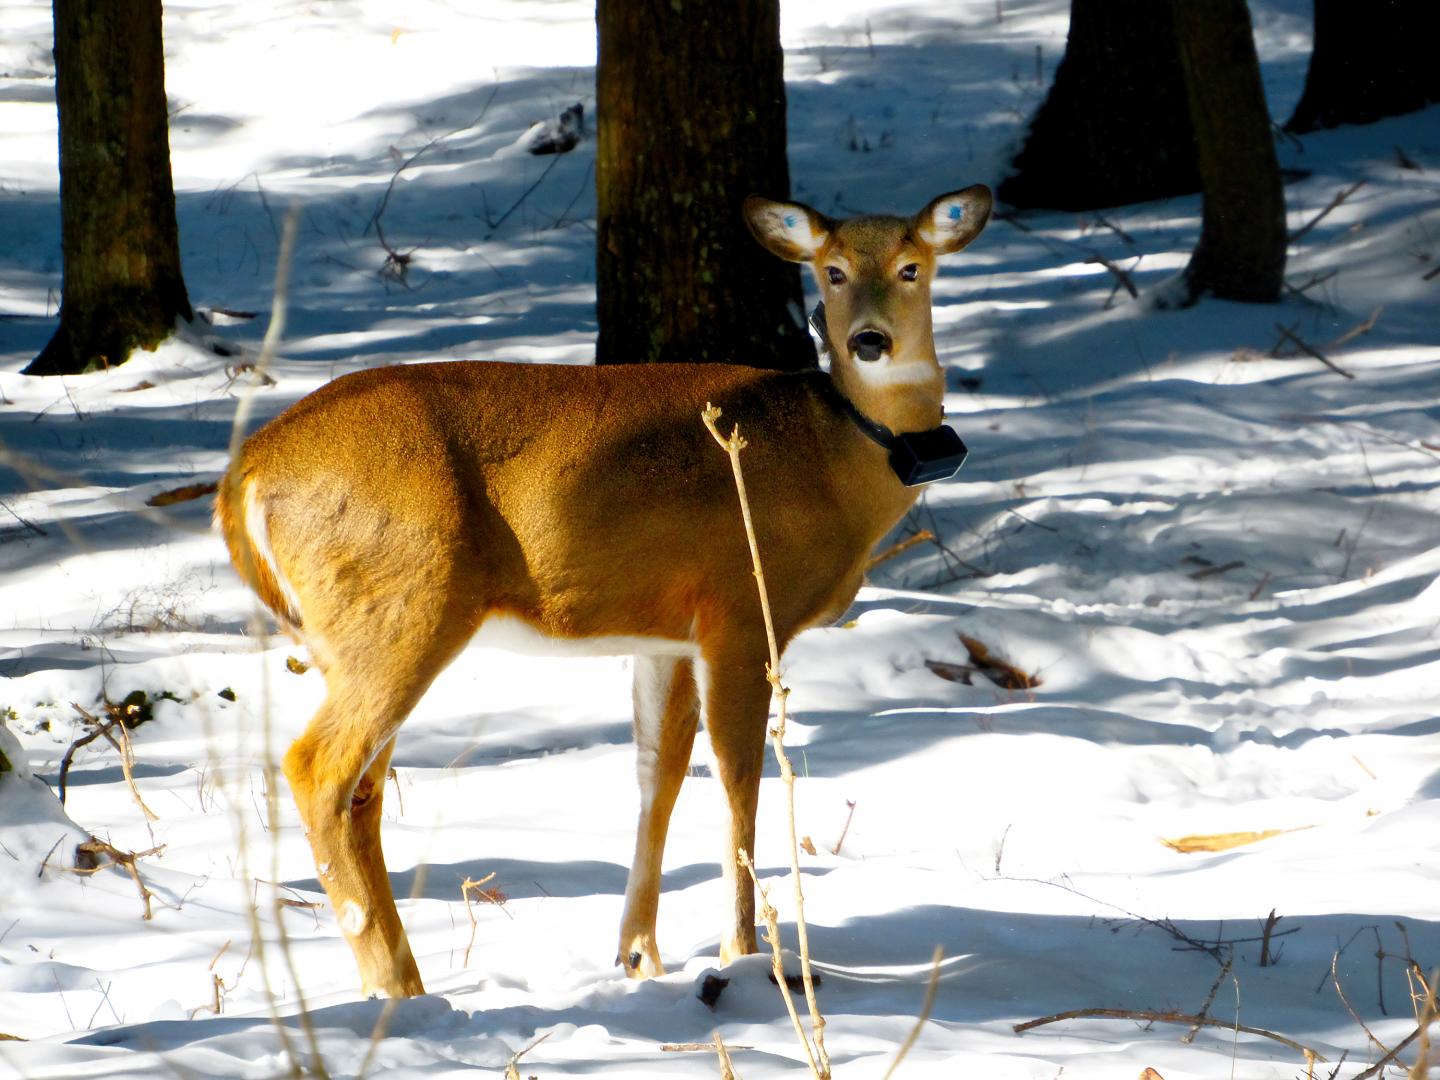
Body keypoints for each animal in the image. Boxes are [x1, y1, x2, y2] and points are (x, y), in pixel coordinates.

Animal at [214, 183, 992, 999]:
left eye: (912, 266)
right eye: (833, 271)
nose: (871, 341)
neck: (835, 460)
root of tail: (244, 476)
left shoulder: (669, 633)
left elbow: (660, 772)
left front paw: (639, 955)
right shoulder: (743, 609)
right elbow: (737, 777)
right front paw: (740, 954)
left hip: (358, 630)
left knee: (361, 791)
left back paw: (406, 983)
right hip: (402, 603)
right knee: (318, 768)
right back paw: (392, 983)